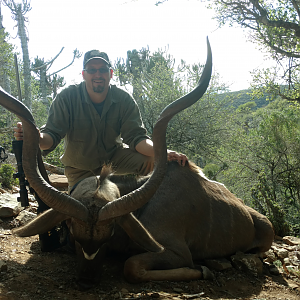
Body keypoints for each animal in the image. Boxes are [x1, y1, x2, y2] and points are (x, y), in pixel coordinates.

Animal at [0, 38, 274, 290]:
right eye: (72, 231)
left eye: (109, 235)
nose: (86, 281)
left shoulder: (176, 251)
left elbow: (131, 267)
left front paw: (203, 270)